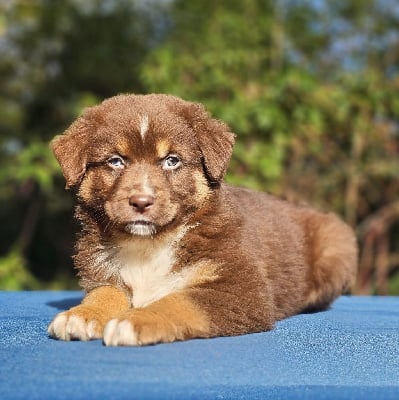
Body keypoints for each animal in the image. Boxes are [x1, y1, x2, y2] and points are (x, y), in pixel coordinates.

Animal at [47, 94, 360, 346]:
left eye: (171, 161)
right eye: (115, 161)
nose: (141, 202)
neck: (149, 244)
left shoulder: (240, 288)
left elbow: (179, 301)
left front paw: (134, 321)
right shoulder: (102, 275)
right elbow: (105, 293)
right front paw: (81, 315)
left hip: (336, 244)